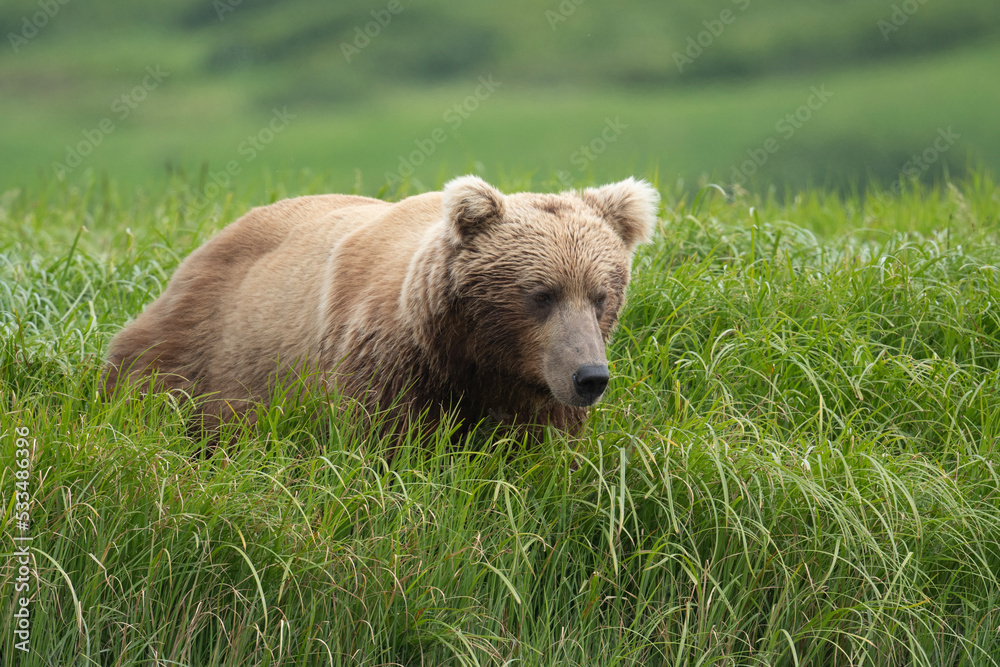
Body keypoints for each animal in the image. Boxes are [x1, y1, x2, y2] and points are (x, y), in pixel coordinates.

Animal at [103, 175, 659, 441]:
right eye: (541, 293)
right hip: (205, 351)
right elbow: (386, 445)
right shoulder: (389, 364)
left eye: (601, 295)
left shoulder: (534, 386)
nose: (590, 377)